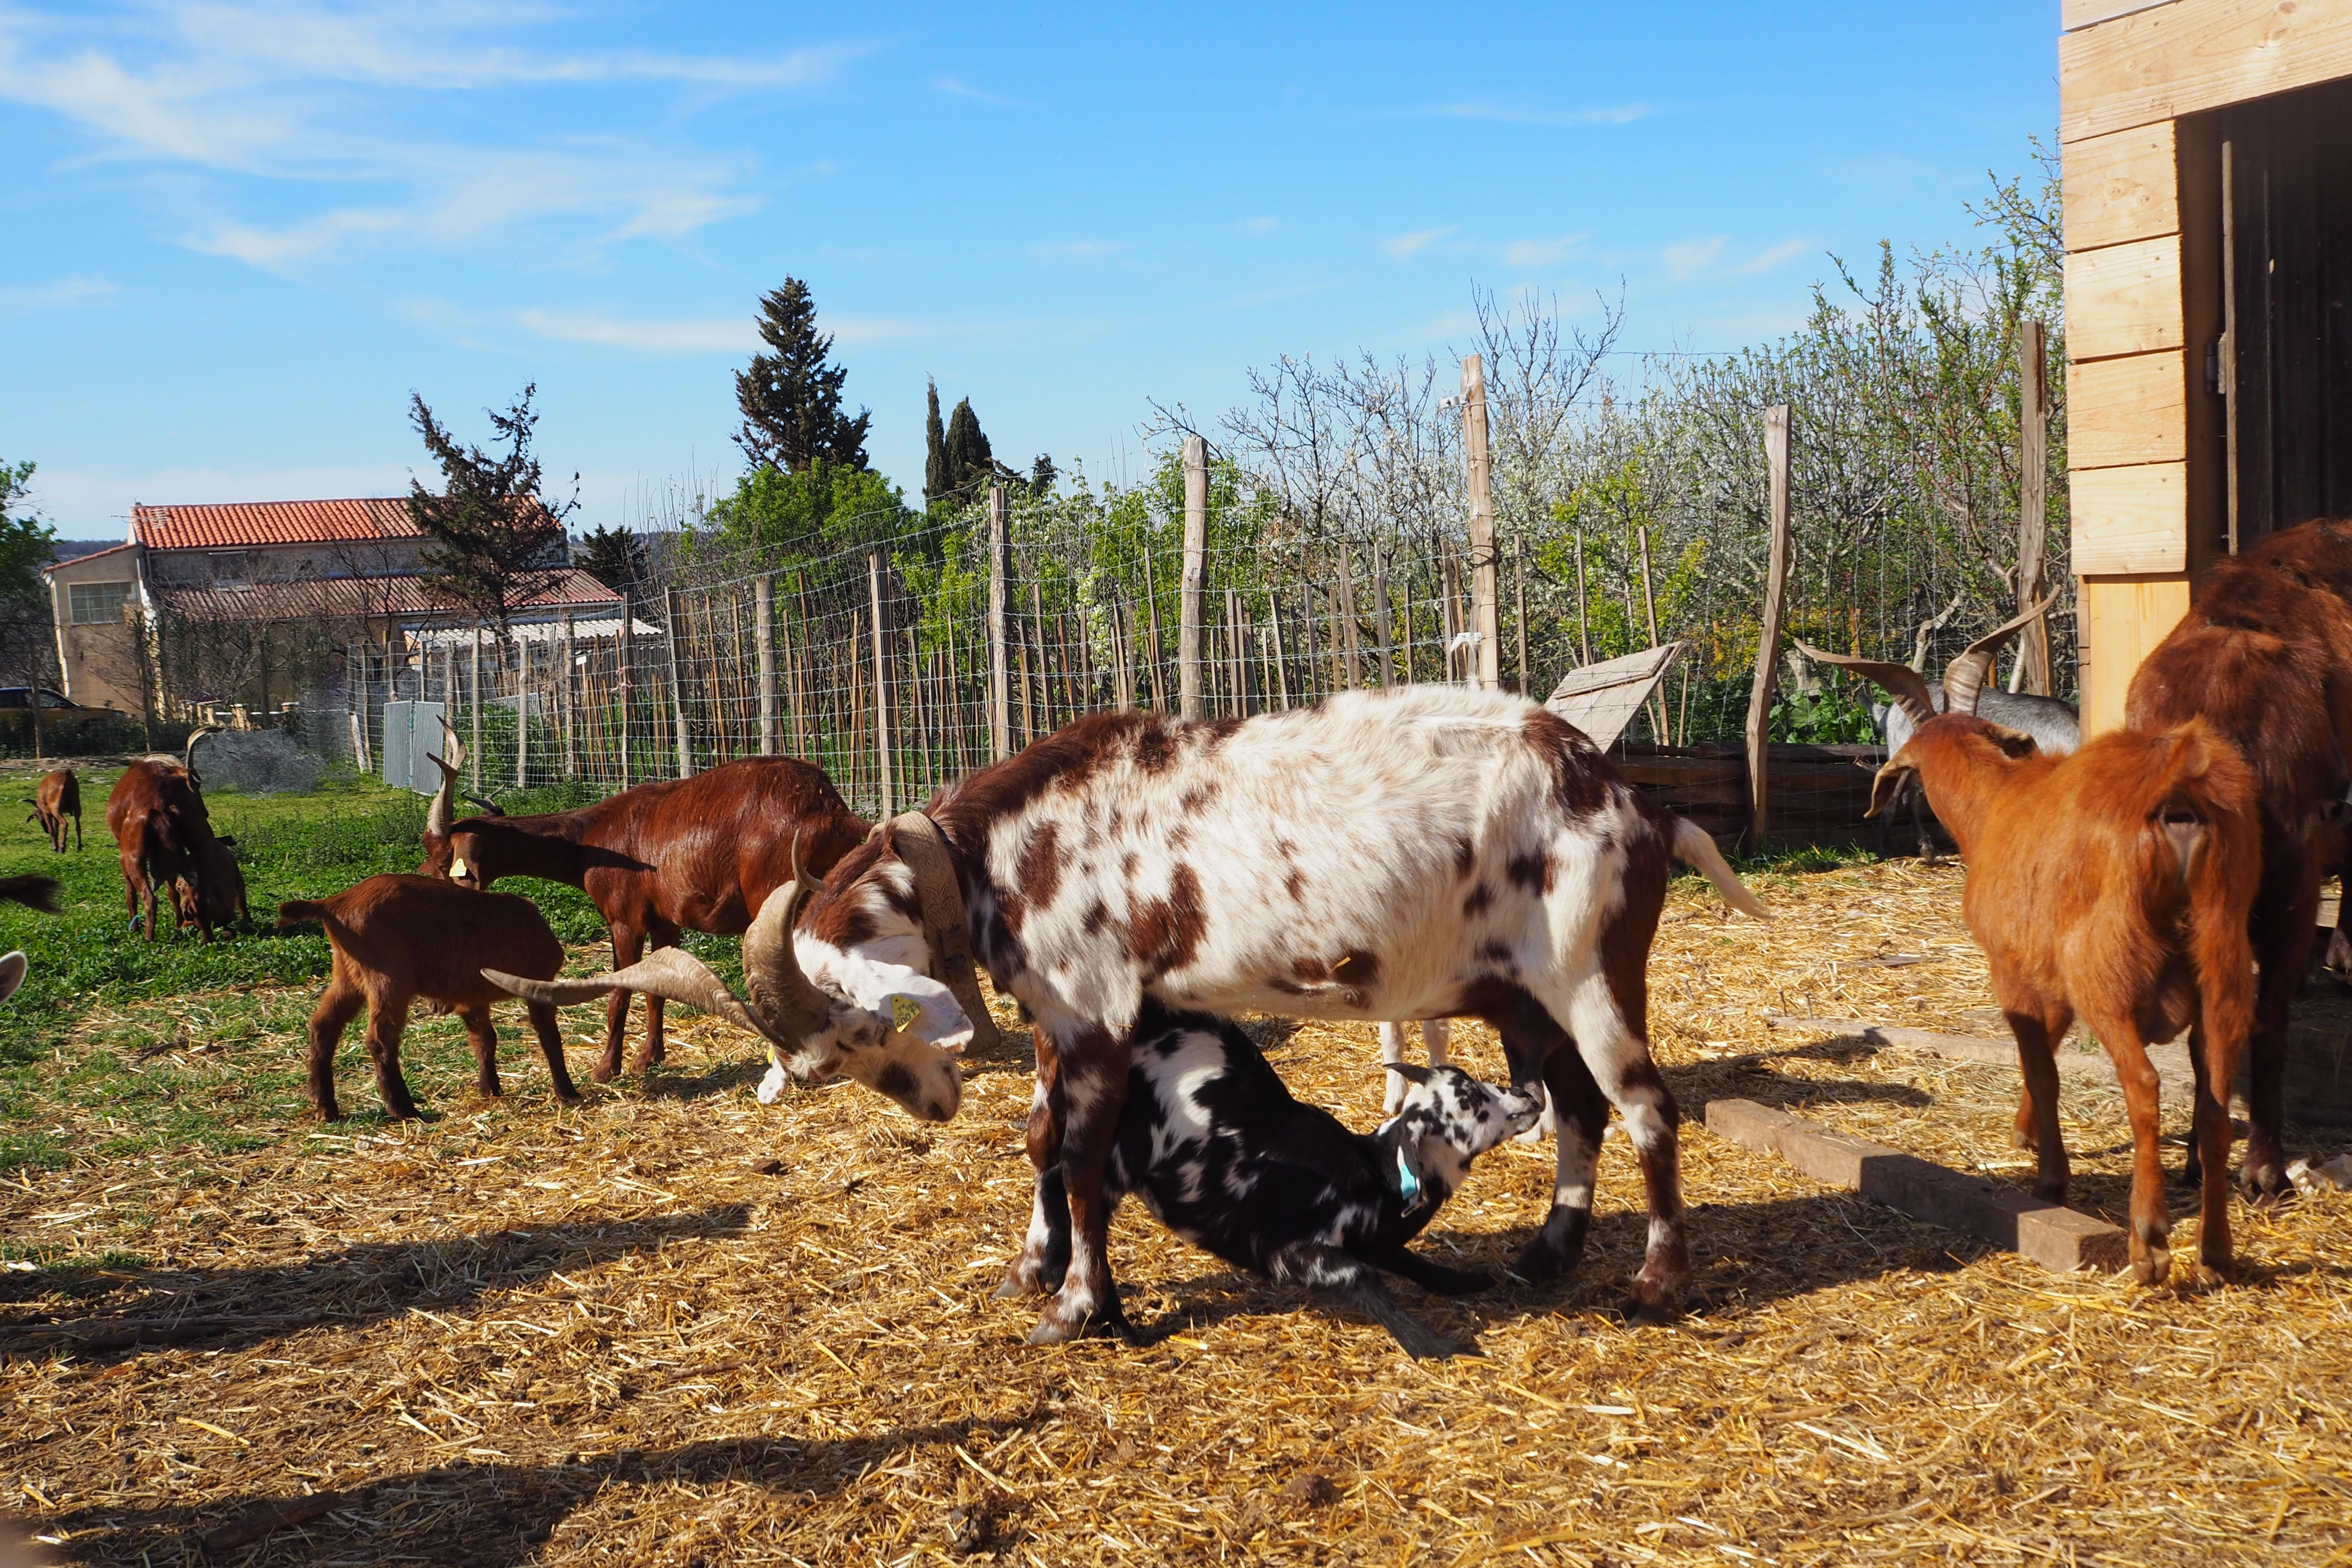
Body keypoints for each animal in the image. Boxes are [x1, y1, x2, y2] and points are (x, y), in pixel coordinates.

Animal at [29, 771, 79, 851]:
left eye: (40, 819)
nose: (46, 831)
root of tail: (66, 776)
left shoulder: (46, 812)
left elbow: (52, 830)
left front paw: (55, 848)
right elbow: (56, 829)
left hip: (56, 808)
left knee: (64, 824)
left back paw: (62, 848)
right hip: (76, 805)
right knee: (78, 826)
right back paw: (79, 847)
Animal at [276, 879, 583, 1123]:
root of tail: (334, 903)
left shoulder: (473, 997)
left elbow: (485, 1039)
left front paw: (490, 1089)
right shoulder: (538, 981)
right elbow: (548, 1036)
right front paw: (568, 1094)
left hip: (348, 973)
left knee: (324, 1025)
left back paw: (326, 1108)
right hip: (389, 977)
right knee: (380, 1038)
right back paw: (403, 1109)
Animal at [419, 757, 879, 1081]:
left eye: (444, 860)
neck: (592, 841)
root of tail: (835, 811)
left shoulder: (625, 919)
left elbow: (621, 991)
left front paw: (606, 1069)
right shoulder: (666, 921)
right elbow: (657, 991)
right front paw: (649, 1058)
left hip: (778, 896)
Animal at [492, 691, 1769, 1344]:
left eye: (853, 1036)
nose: (929, 1103)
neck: (1004, 854)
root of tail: (1638, 802)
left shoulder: (1098, 1007)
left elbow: (1086, 1161)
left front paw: (1078, 1305)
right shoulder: (1071, 1019)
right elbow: (1041, 1142)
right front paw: (1033, 1266)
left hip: (1593, 964)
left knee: (1646, 1106)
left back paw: (1657, 1285)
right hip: (1511, 985)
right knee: (1573, 1105)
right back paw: (1546, 1255)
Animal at [1872, 719, 2258, 1279]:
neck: (1994, 805)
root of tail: (2177, 777)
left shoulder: (2012, 971)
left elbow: (2042, 1071)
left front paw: (2051, 1179)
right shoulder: (2050, 980)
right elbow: (2047, 1050)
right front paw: (2025, 1134)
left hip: (2105, 973)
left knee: (2144, 1084)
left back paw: (2149, 1242)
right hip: (2224, 963)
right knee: (2214, 1110)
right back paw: (2216, 1252)